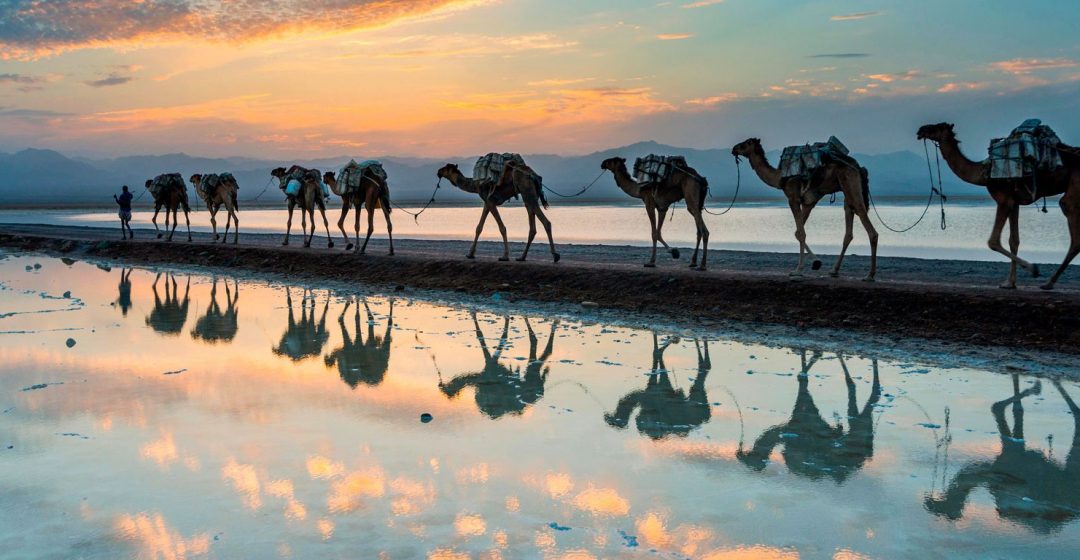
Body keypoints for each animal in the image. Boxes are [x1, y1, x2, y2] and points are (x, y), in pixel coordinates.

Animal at [734, 139, 876, 280]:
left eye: (745, 143)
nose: (734, 149)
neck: (780, 177)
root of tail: (859, 168)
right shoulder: (808, 203)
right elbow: (798, 232)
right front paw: (816, 262)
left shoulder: (793, 198)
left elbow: (801, 233)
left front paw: (798, 270)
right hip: (848, 191)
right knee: (849, 226)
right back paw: (834, 271)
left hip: (849, 182)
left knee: (867, 223)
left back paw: (869, 275)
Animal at [738, 353, 881, 483]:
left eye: (749, 461)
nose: (739, 453)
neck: (782, 433)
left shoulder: (801, 417)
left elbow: (804, 380)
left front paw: (802, 372)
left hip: (854, 438)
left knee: (860, 398)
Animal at [920, 121, 1080, 289]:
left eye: (936, 127)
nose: (920, 131)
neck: (983, 172)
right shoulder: (1014, 202)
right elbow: (1014, 241)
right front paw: (1010, 282)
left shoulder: (1004, 200)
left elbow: (993, 241)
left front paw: (1033, 269)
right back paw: (1048, 281)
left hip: (1073, 190)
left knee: (1073, 232)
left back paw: (1048, 282)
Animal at [924, 377, 1075, 535]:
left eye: (941, 509)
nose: (928, 500)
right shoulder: (1013, 452)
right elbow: (1016, 411)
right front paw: (1036, 387)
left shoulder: (1012, 454)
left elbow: (997, 407)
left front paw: (1036, 387)